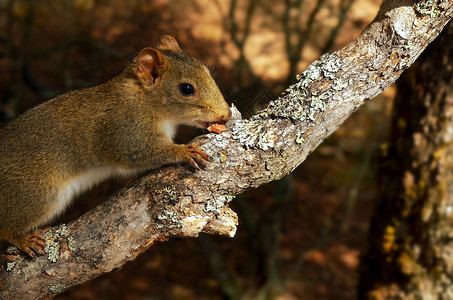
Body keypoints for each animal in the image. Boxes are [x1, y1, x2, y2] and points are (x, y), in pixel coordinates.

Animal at [0, 34, 231, 255]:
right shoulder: (125, 132)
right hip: (37, 194)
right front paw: (184, 151)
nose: (226, 114)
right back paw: (23, 240)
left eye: (207, 71)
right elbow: (141, 154)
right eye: (186, 88)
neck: (144, 99)